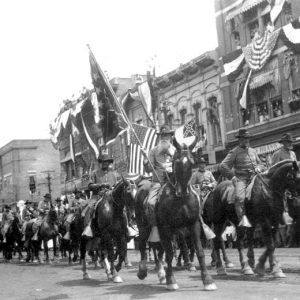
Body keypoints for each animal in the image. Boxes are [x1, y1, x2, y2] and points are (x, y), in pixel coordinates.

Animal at [135, 138, 216, 290]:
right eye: (177, 161)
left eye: (192, 161)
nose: (182, 190)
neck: (181, 199)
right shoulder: (166, 227)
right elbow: (170, 253)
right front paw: (171, 280)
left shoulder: (193, 224)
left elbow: (199, 251)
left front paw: (208, 280)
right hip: (144, 226)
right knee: (143, 245)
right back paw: (143, 270)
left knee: (159, 249)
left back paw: (161, 274)